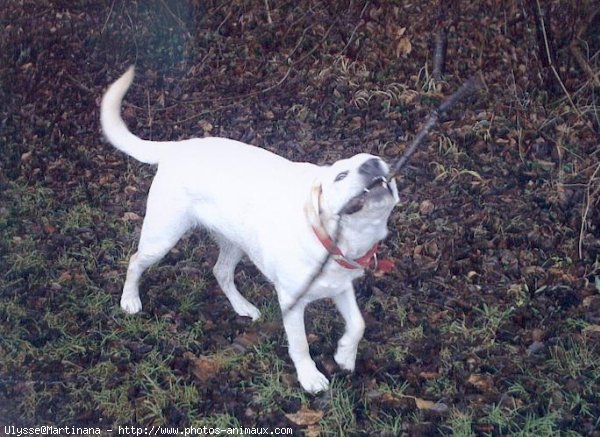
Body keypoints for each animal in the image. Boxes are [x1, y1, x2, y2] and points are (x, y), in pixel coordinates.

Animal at [101, 67, 398, 392]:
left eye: (378, 161)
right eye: (341, 176)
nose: (373, 164)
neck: (335, 241)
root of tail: (179, 147)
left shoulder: (341, 287)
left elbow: (358, 324)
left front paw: (345, 355)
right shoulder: (292, 301)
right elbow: (300, 344)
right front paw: (309, 376)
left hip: (236, 242)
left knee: (220, 271)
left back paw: (242, 306)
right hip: (162, 236)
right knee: (135, 261)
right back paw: (130, 300)